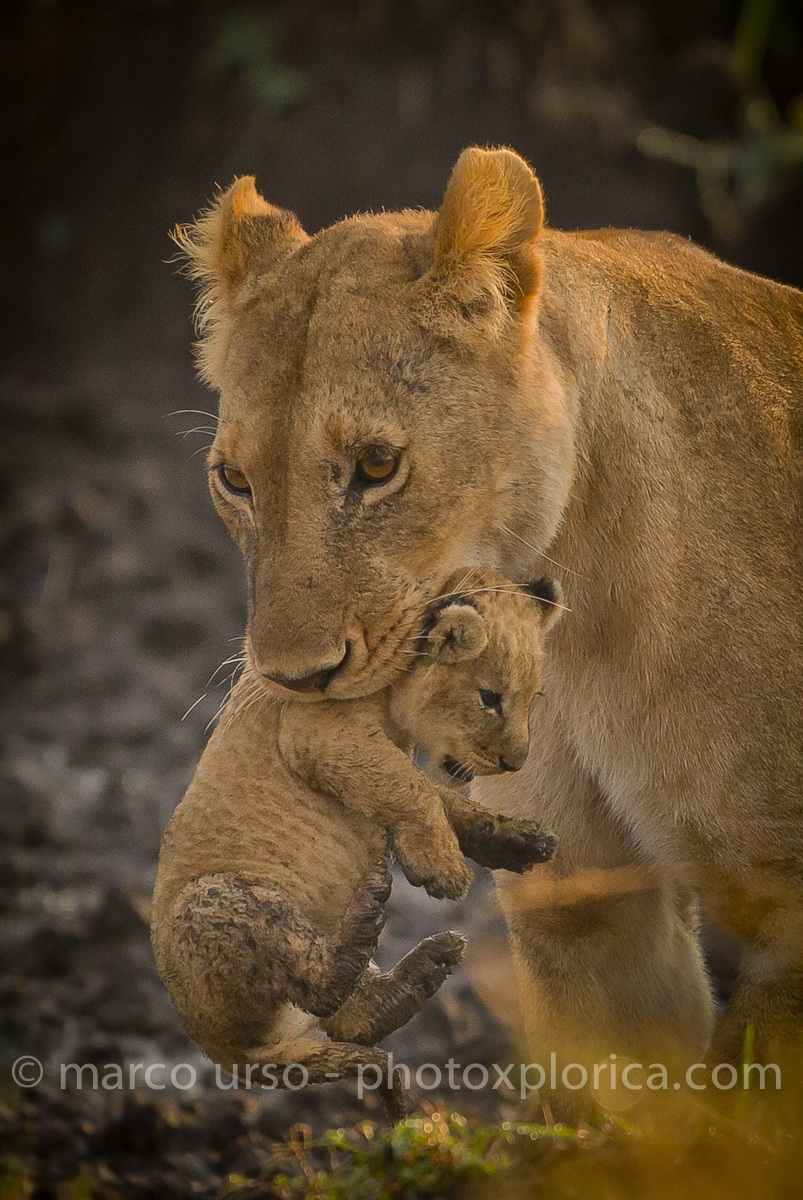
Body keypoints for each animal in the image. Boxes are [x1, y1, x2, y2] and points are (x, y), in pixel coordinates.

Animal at [151, 571, 563, 1116]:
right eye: (490, 698)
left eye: (534, 698)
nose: (516, 762)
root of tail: (231, 1057)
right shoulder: (320, 735)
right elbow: (411, 787)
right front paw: (445, 871)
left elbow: (443, 800)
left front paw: (521, 841)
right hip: (216, 901)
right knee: (322, 988)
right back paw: (372, 915)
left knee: (353, 1020)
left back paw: (423, 969)